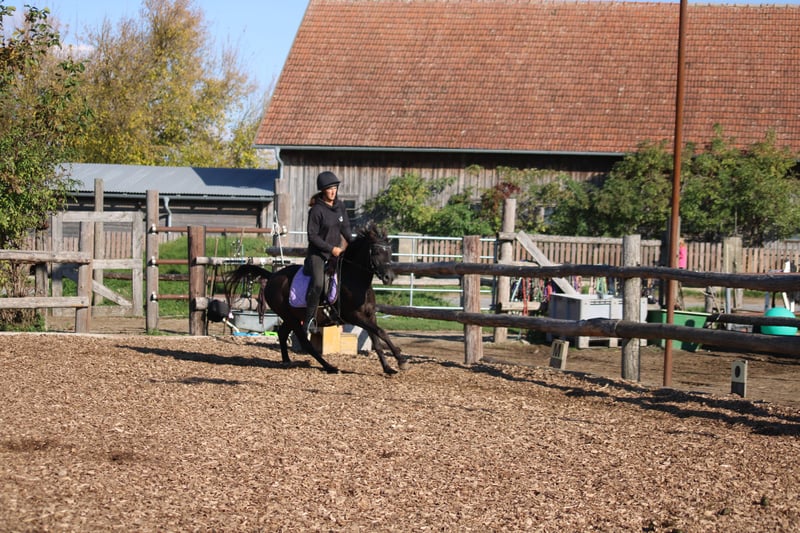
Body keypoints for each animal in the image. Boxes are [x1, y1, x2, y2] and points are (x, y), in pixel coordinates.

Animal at [224, 222, 408, 374]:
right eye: (376, 252)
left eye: (389, 252)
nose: (389, 277)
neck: (356, 280)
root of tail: (272, 276)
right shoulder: (353, 316)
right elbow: (381, 332)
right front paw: (400, 359)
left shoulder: (370, 315)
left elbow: (377, 338)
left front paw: (389, 367)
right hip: (291, 317)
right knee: (305, 342)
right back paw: (329, 367)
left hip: (291, 317)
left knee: (282, 334)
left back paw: (287, 361)